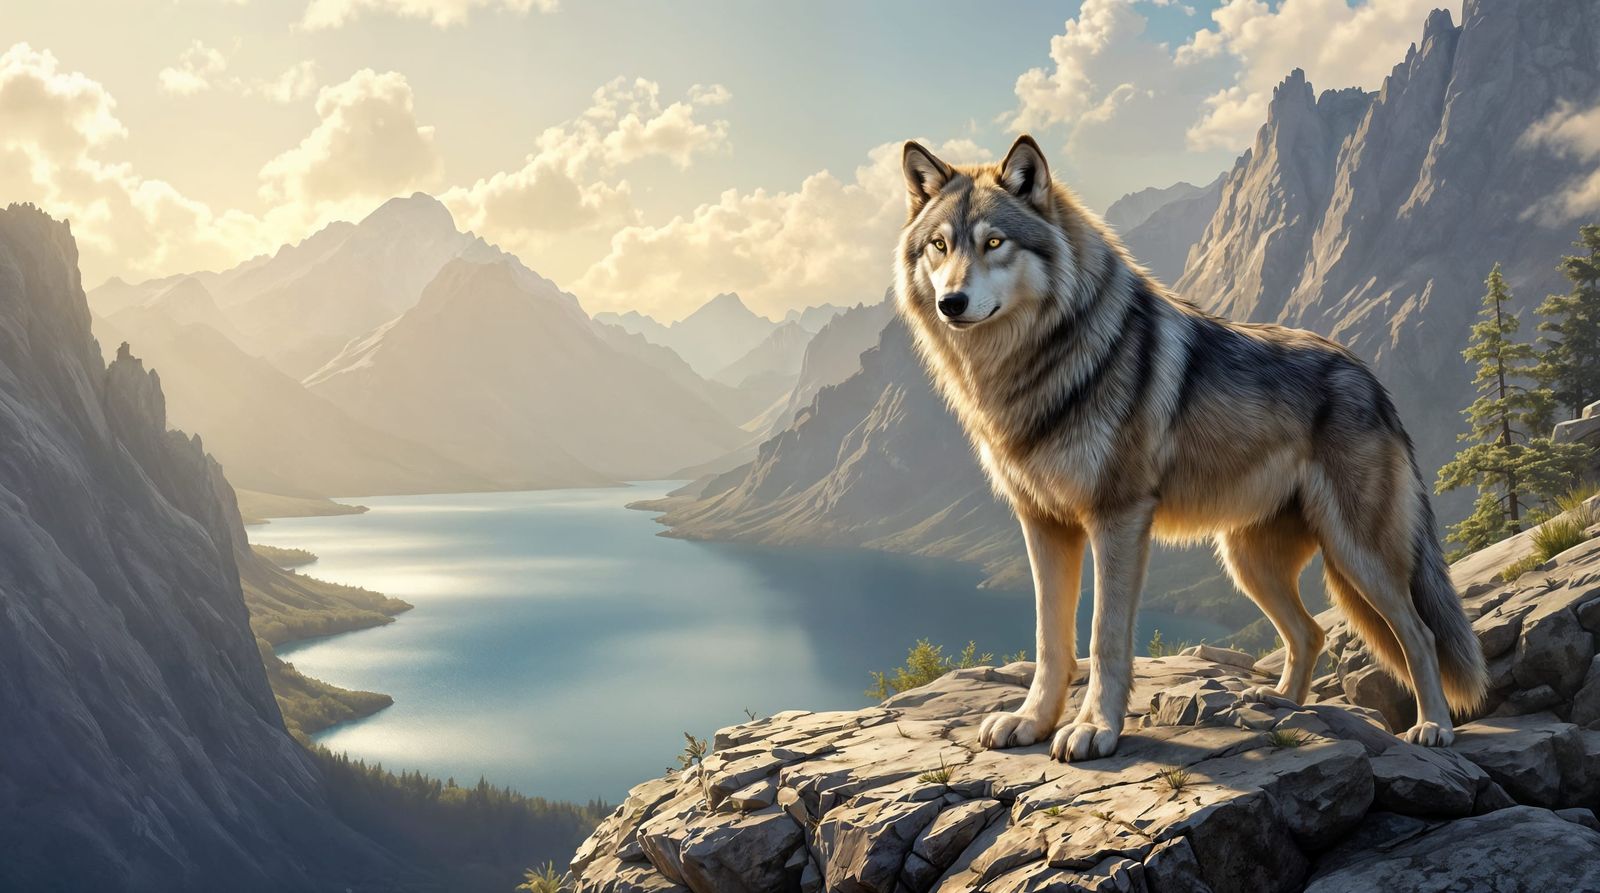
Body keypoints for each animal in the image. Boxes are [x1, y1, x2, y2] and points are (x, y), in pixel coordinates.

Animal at [894, 135, 1487, 761]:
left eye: (994, 243)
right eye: (939, 246)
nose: (952, 303)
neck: (1034, 365)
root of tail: (1372, 379)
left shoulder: (1118, 519)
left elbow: (1104, 638)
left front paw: (1094, 728)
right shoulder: (1042, 523)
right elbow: (1050, 641)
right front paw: (1031, 721)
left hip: (1357, 555)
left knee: (1419, 633)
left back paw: (1433, 726)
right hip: (1248, 562)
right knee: (1311, 631)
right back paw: (1282, 704)